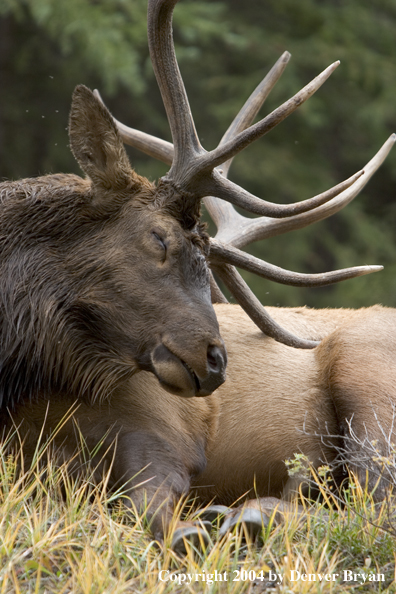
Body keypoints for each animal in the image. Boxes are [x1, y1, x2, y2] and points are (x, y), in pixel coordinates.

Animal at [0, 0, 396, 552]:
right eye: (160, 238)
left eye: (207, 269)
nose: (216, 360)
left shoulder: (163, 428)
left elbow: (154, 515)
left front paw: (202, 526)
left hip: (369, 382)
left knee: (374, 504)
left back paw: (250, 515)